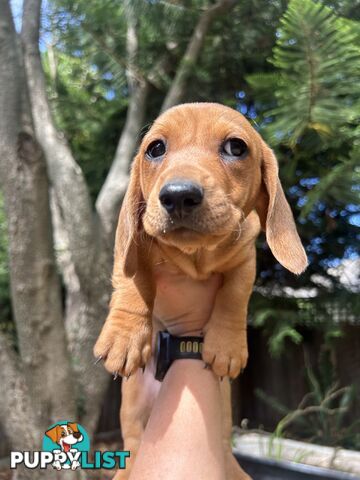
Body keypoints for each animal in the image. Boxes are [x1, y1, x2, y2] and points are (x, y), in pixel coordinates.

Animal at [93, 103, 306, 478]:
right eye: (155, 148)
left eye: (236, 147)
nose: (178, 195)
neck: (195, 256)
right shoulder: (134, 250)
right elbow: (133, 283)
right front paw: (124, 337)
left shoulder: (245, 258)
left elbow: (234, 296)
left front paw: (227, 347)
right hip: (133, 419)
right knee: (132, 448)